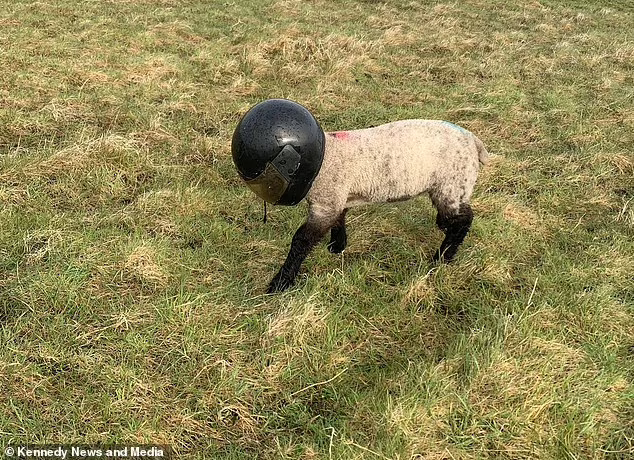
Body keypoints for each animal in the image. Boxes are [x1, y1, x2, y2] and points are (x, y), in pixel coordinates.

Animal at [264, 117, 486, 292]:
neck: (325, 158)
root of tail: (474, 142)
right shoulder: (338, 198)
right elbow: (340, 217)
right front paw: (337, 246)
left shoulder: (325, 202)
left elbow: (301, 240)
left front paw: (279, 283)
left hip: (452, 184)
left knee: (463, 220)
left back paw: (443, 258)